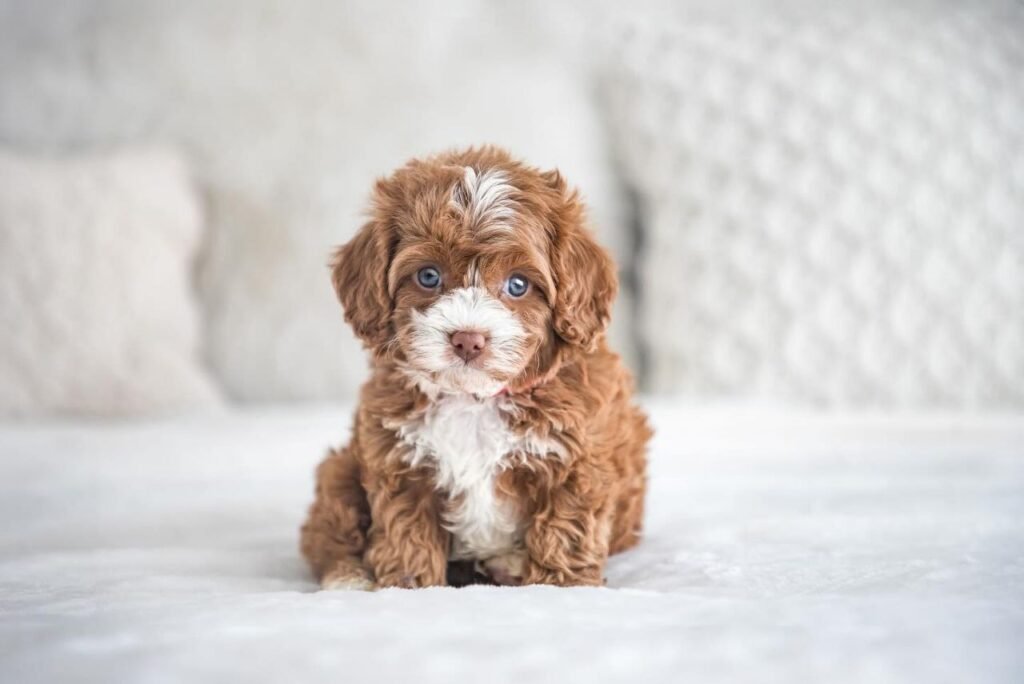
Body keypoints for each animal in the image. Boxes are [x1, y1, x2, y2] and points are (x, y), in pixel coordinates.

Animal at [299, 145, 647, 589]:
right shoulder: (399, 460)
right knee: (328, 528)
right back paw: (350, 575)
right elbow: (406, 532)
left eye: (518, 284)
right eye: (428, 276)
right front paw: (407, 585)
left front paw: (559, 586)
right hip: (341, 469)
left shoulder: (578, 459)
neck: (474, 398)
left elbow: (565, 529)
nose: (468, 339)